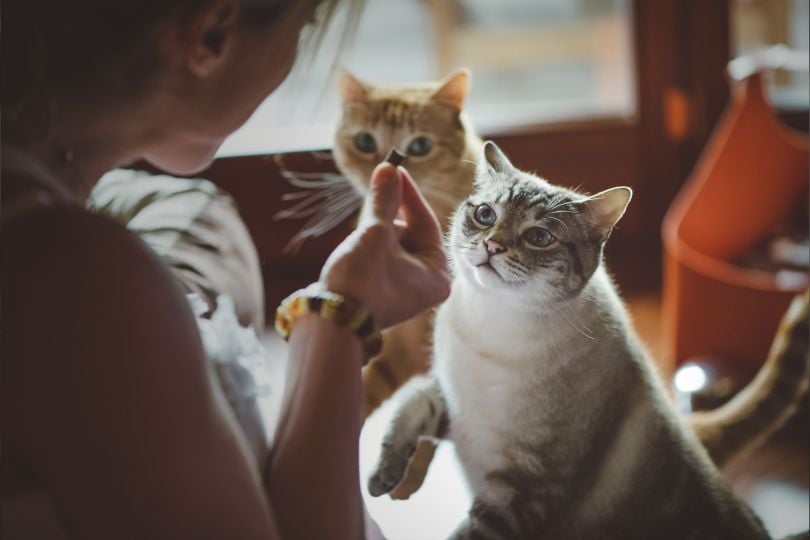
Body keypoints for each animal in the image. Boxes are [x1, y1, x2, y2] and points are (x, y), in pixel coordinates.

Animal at [368, 142, 784, 540]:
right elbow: (409, 409)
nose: (492, 246)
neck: (493, 322)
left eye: (539, 237)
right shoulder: (453, 403)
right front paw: (381, 478)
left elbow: (463, 534)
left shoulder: (521, 494)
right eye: (485, 215)